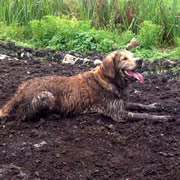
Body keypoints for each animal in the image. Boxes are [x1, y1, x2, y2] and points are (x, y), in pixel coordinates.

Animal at [0, 49, 172, 122]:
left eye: (133, 56)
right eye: (124, 58)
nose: (140, 60)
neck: (110, 80)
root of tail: (19, 91)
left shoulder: (121, 103)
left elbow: (140, 105)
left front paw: (155, 106)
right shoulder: (118, 113)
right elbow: (144, 115)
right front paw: (163, 117)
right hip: (46, 95)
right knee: (24, 116)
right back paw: (52, 116)